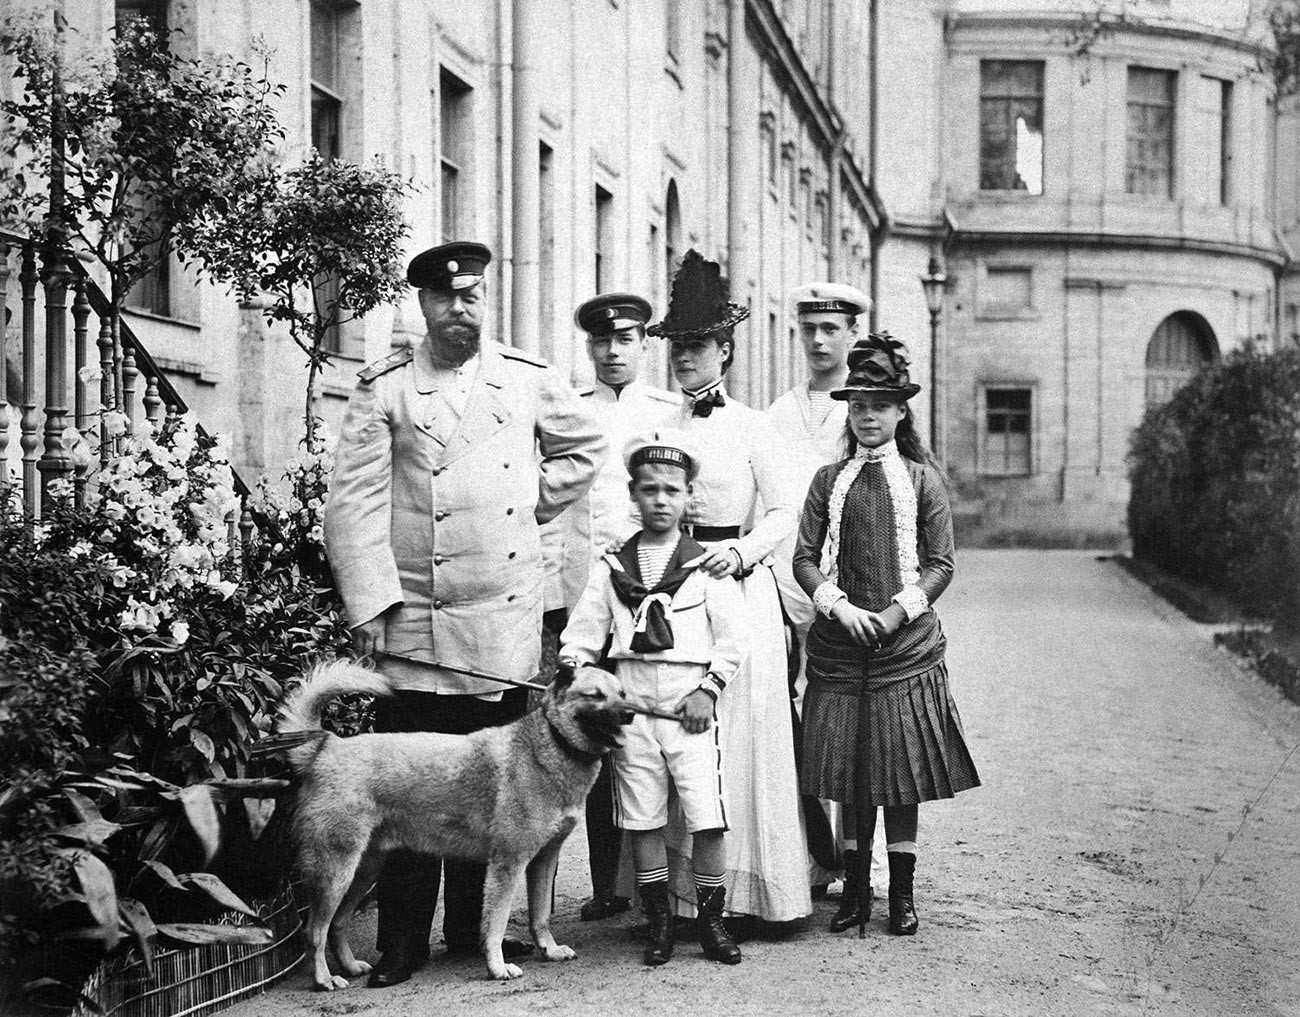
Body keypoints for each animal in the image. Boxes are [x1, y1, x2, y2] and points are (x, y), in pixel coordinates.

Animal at [279, 660, 634, 988]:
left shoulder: (544, 860)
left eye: (622, 693)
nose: (630, 713)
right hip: (335, 872)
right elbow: (495, 924)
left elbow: (541, 916)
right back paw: (325, 979)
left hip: (364, 870)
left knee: (337, 924)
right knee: (315, 931)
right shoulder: (508, 864)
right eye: (594, 695)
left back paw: (351, 967)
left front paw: (549, 949)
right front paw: (497, 968)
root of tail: (327, 747)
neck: (548, 746)